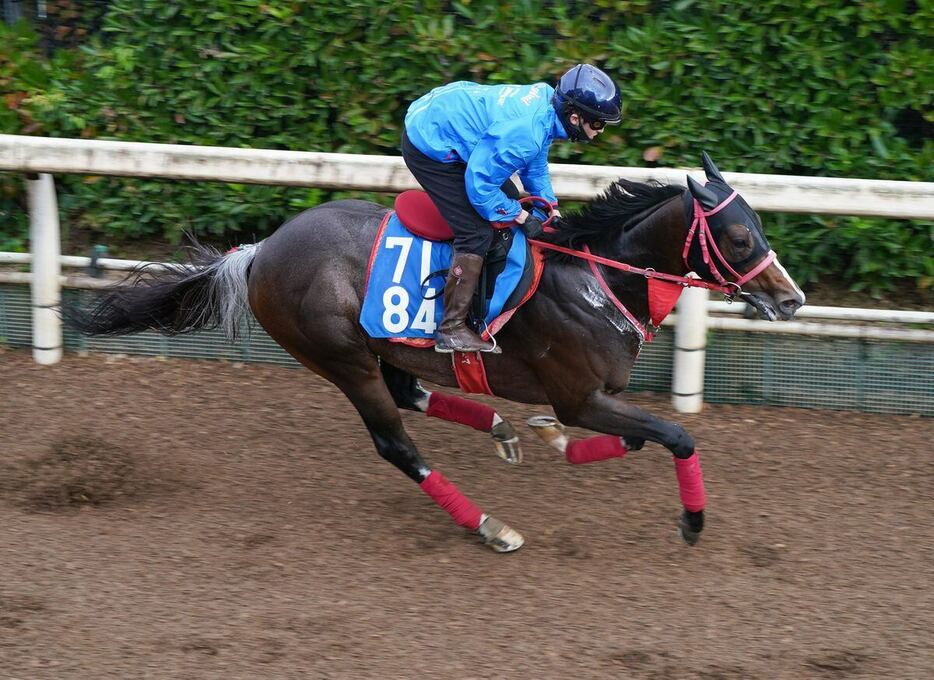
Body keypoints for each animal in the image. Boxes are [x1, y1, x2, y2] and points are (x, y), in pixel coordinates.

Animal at [69, 153, 808, 552]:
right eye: (739, 237)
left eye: (759, 226)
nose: (792, 297)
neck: (593, 279)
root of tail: (258, 252)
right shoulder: (579, 394)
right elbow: (676, 435)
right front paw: (692, 522)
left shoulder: (597, 399)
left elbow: (632, 436)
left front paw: (547, 437)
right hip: (339, 356)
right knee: (396, 443)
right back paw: (489, 525)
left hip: (381, 347)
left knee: (410, 393)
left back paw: (501, 428)